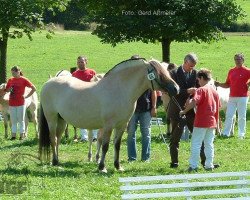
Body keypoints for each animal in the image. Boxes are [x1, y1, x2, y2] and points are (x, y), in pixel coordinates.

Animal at [38, 58, 180, 173]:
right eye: (158, 73)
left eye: (166, 71)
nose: (176, 88)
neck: (119, 89)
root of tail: (48, 82)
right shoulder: (108, 126)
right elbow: (105, 146)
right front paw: (102, 167)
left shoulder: (122, 125)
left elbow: (117, 145)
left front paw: (118, 166)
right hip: (52, 119)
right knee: (53, 139)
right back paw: (55, 162)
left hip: (61, 121)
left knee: (57, 139)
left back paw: (57, 161)